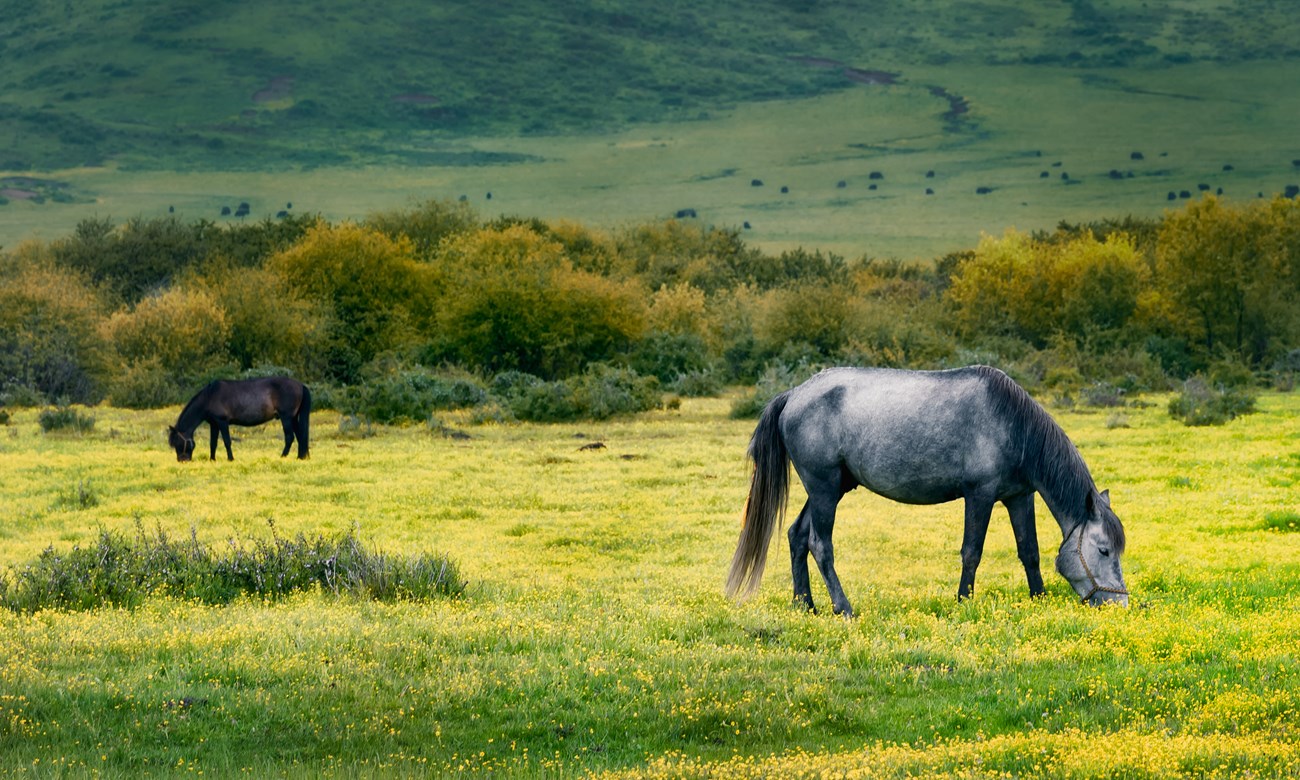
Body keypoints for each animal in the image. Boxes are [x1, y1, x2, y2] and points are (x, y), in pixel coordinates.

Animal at [168, 377, 311, 462]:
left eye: (178, 443)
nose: (183, 461)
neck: (209, 397)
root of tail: (300, 385)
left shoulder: (222, 422)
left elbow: (227, 441)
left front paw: (230, 459)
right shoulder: (214, 424)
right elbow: (213, 443)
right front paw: (212, 460)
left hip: (286, 418)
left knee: (290, 437)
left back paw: (283, 456)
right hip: (293, 418)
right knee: (300, 436)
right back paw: (300, 457)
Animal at [726, 366, 1127, 616]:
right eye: (1103, 550)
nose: (1119, 605)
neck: (1012, 424)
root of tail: (794, 395)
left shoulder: (1018, 497)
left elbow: (1029, 550)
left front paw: (1038, 597)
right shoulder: (979, 495)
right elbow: (972, 552)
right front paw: (964, 601)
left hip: (830, 488)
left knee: (797, 536)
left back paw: (805, 604)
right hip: (823, 489)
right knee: (819, 544)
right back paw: (843, 607)